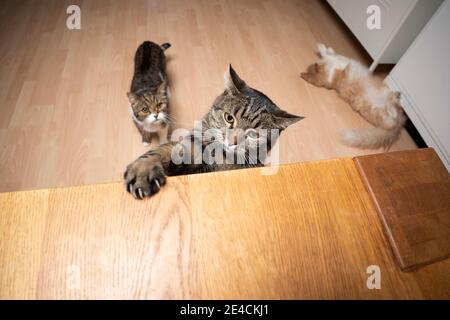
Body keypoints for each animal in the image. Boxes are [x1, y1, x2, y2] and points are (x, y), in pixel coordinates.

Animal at [125, 65, 304, 199]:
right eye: (229, 118)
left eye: (254, 135)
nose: (232, 142)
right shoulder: (190, 143)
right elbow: (161, 150)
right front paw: (143, 170)